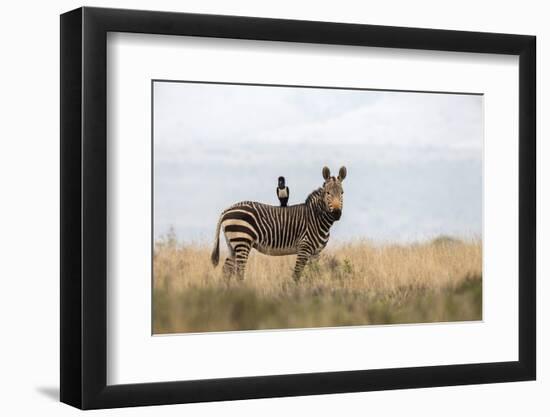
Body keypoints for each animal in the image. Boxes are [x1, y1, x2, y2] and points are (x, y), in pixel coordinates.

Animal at [212, 166, 348, 280]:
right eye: (328, 193)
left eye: (342, 193)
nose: (337, 213)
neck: (316, 217)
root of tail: (226, 210)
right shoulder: (304, 248)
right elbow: (296, 274)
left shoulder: (316, 252)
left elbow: (314, 273)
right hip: (242, 241)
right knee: (239, 272)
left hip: (232, 245)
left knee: (226, 270)